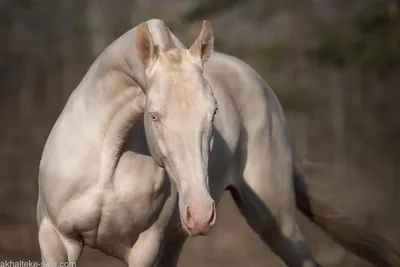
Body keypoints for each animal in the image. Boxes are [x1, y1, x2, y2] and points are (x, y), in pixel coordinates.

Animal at [36, 19, 398, 267]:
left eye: (213, 112)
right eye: (154, 116)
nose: (200, 213)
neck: (107, 159)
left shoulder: (144, 248)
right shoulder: (57, 239)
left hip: (276, 222)